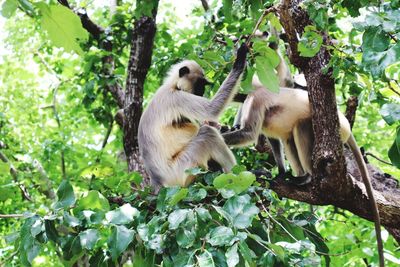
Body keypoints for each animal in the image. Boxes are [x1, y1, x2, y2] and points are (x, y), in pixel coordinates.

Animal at [139, 43, 248, 188]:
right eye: (200, 83)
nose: (202, 92)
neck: (173, 86)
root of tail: (158, 182)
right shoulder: (176, 98)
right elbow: (211, 110)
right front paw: (239, 61)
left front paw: (225, 128)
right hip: (181, 171)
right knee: (208, 134)